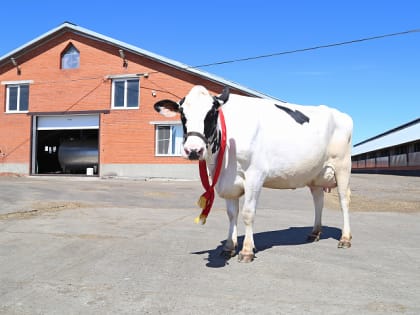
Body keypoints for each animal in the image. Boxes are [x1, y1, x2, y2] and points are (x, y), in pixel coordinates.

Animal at [153, 85, 352, 262]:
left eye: (212, 113)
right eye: (182, 114)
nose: (194, 150)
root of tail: (341, 114)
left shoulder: (255, 175)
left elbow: (248, 213)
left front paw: (247, 250)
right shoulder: (228, 182)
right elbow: (231, 214)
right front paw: (229, 247)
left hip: (342, 166)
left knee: (344, 201)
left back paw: (345, 238)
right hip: (315, 173)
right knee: (318, 201)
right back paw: (315, 232)